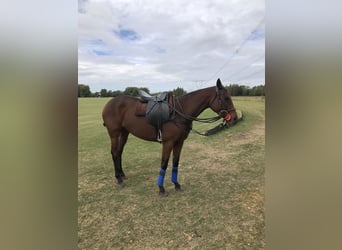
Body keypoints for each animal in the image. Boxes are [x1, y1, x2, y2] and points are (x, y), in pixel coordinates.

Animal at [101, 78, 236, 195]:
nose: (234, 118)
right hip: (114, 134)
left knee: (119, 152)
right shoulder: (168, 142)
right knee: (114, 152)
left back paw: (122, 174)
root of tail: (109, 103)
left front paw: (176, 184)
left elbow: (175, 162)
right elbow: (164, 163)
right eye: (226, 98)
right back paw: (119, 179)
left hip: (124, 132)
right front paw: (161, 188)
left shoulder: (179, 142)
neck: (179, 112)